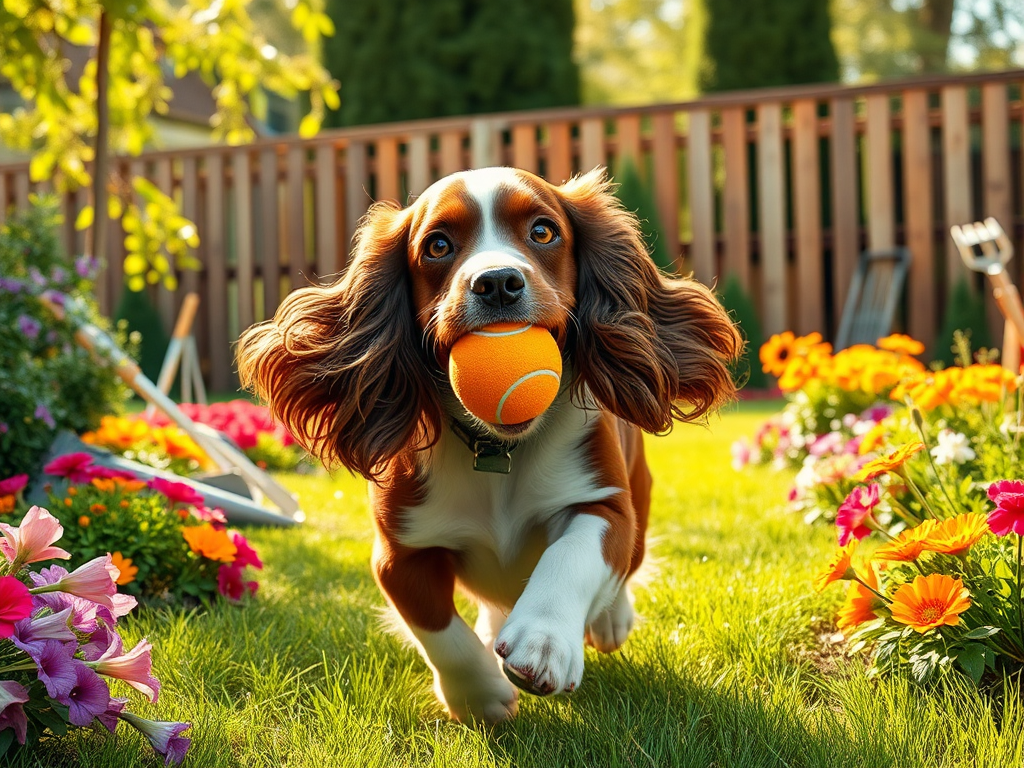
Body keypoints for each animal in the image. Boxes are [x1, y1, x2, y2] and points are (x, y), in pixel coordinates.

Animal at [235, 167, 741, 729]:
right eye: (437, 245)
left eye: (543, 231)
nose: (497, 281)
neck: (500, 448)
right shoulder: (400, 551)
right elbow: (435, 627)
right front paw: (478, 695)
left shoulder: (605, 503)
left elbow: (574, 552)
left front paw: (543, 641)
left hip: (641, 488)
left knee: (627, 564)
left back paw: (610, 618)